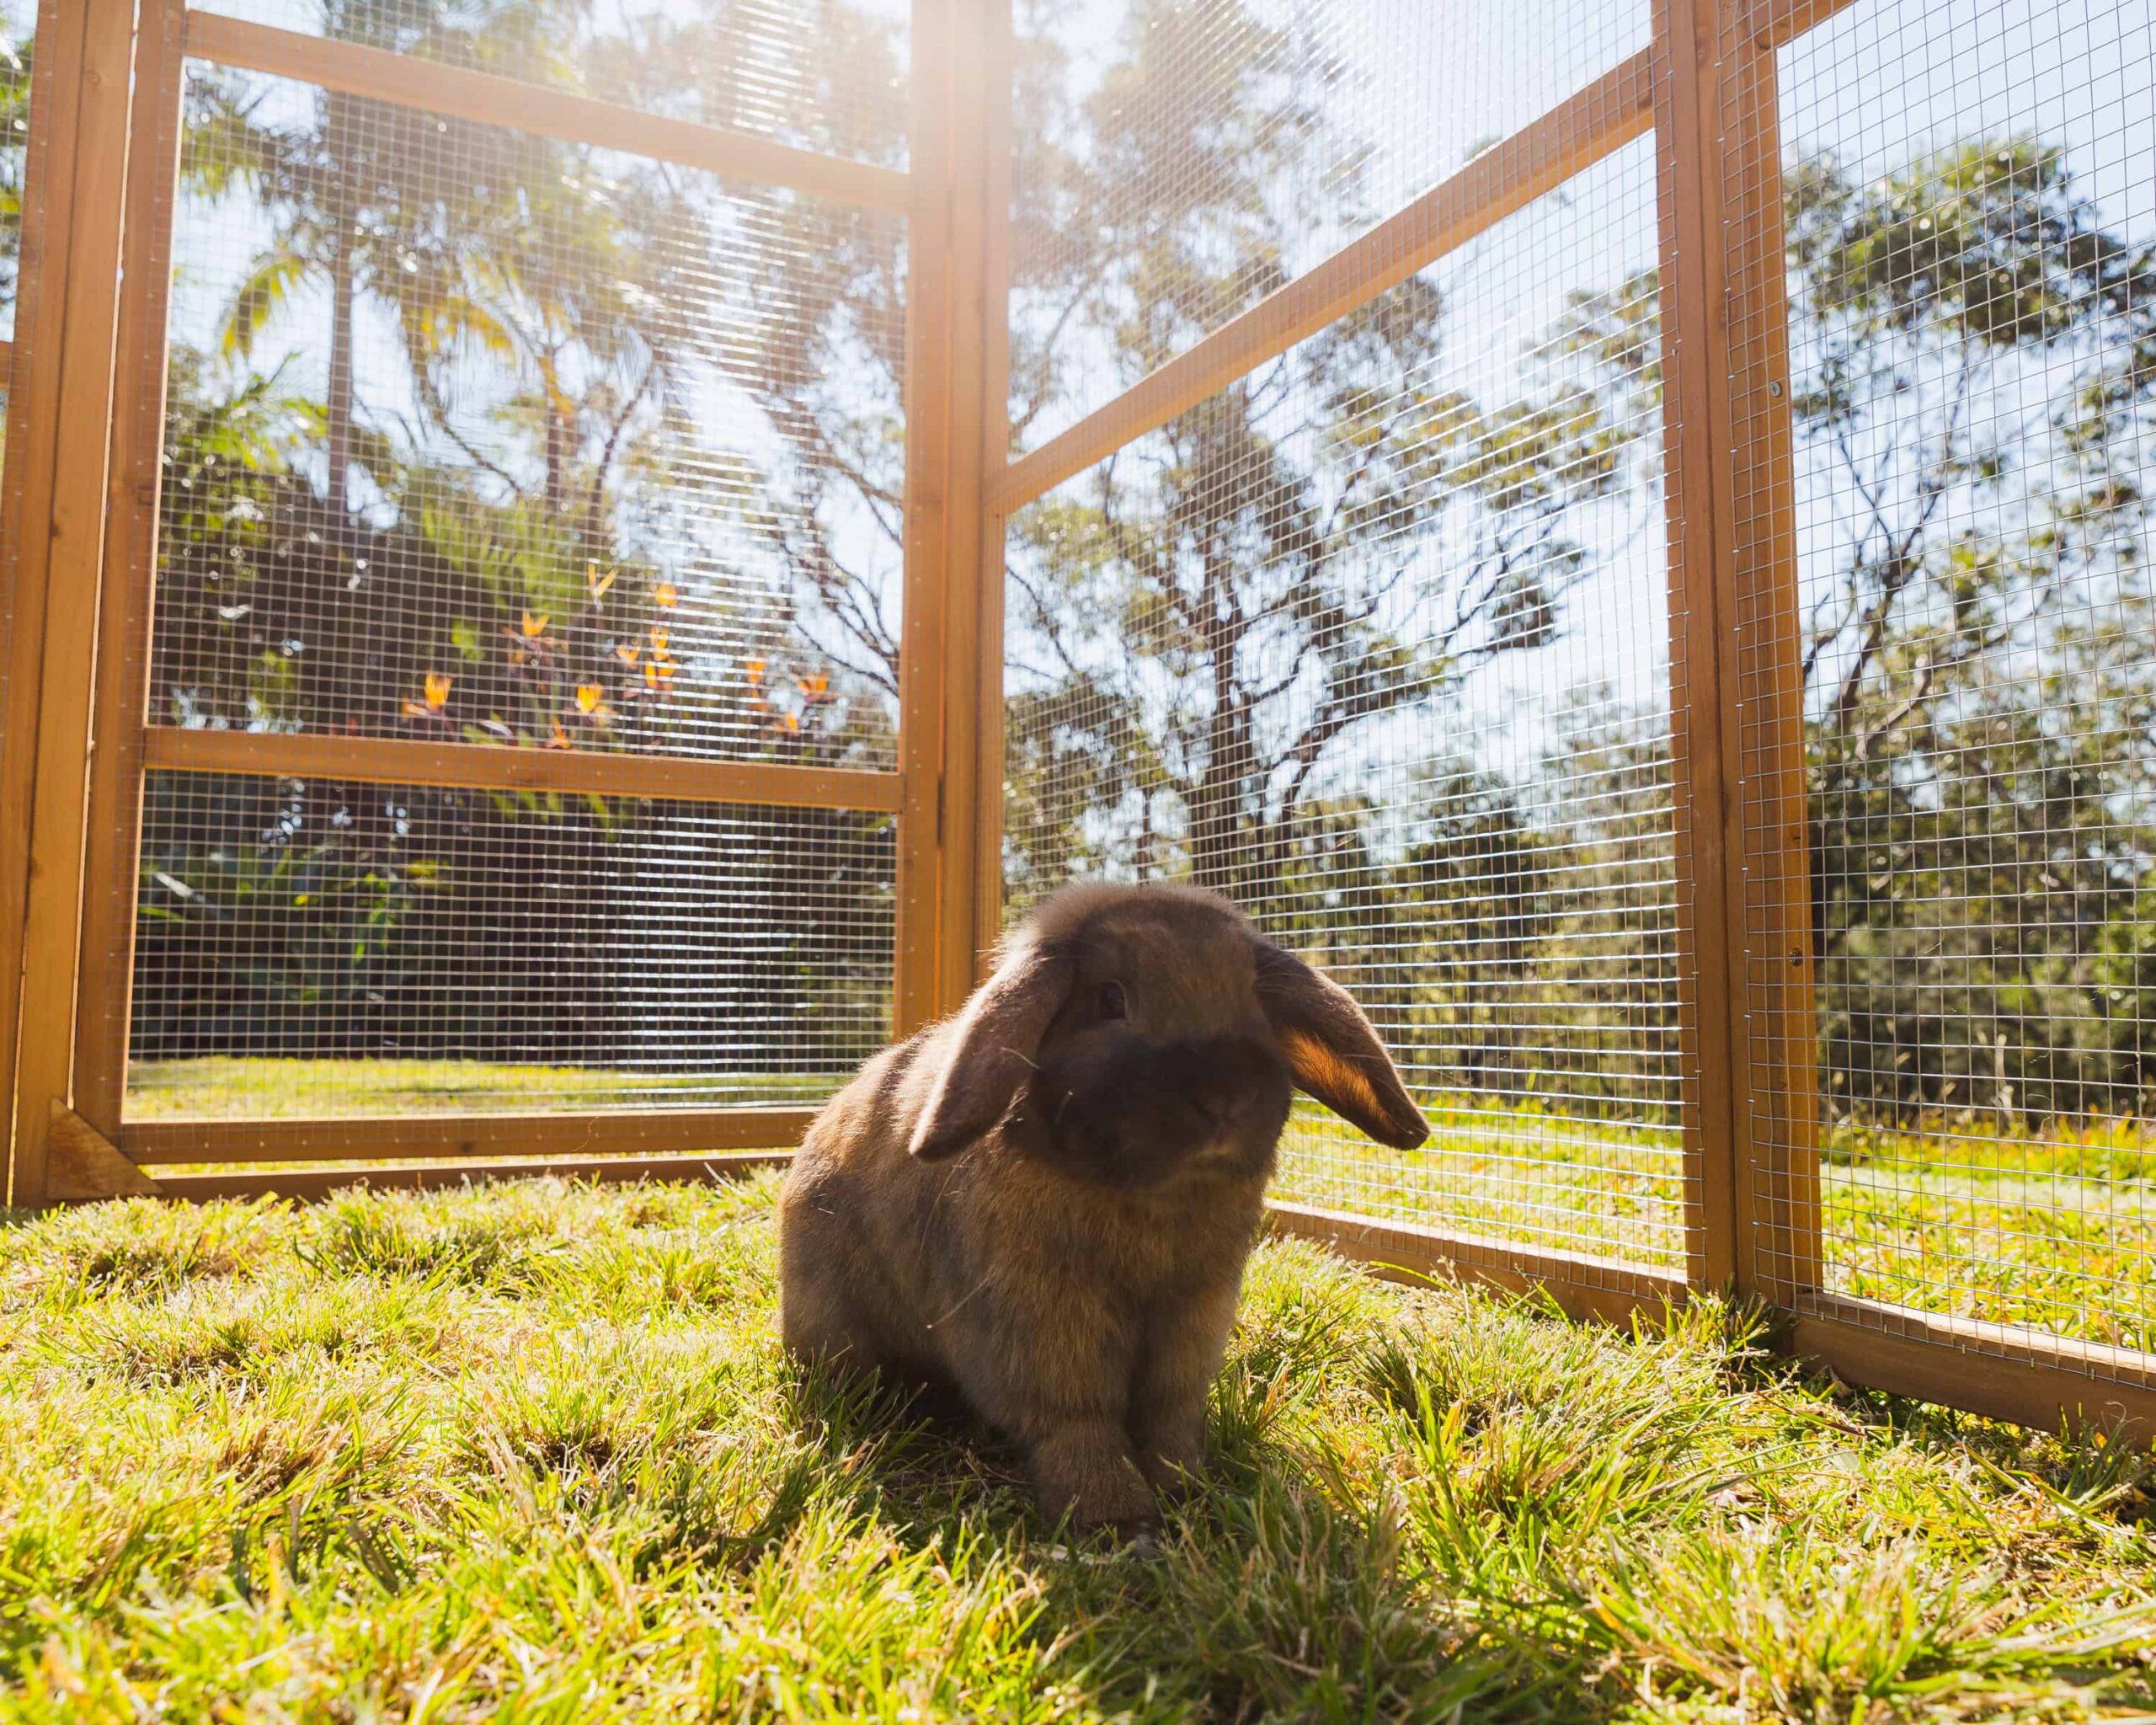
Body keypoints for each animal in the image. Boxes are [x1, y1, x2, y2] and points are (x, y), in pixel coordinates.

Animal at [776, 881, 1429, 1533]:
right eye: (1110, 999)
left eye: (1251, 999)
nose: (1226, 1096)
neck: (1153, 1196)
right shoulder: (1042, 1320)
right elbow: (1075, 1420)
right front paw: (1114, 1516)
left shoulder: (1192, 1317)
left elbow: (1168, 1414)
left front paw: (1187, 1488)